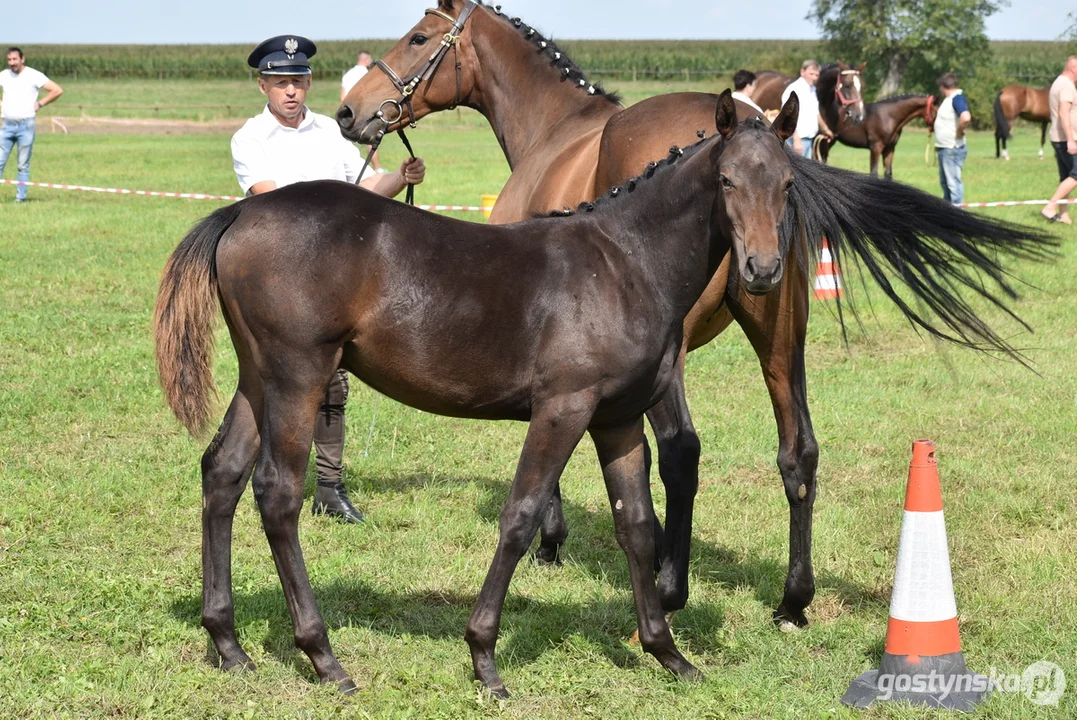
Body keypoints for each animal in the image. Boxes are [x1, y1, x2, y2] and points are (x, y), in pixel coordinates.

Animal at [809, 93, 939, 177]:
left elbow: (888, 174)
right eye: (937, 110)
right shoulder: (876, 147)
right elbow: (874, 173)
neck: (889, 116)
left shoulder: (889, 148)